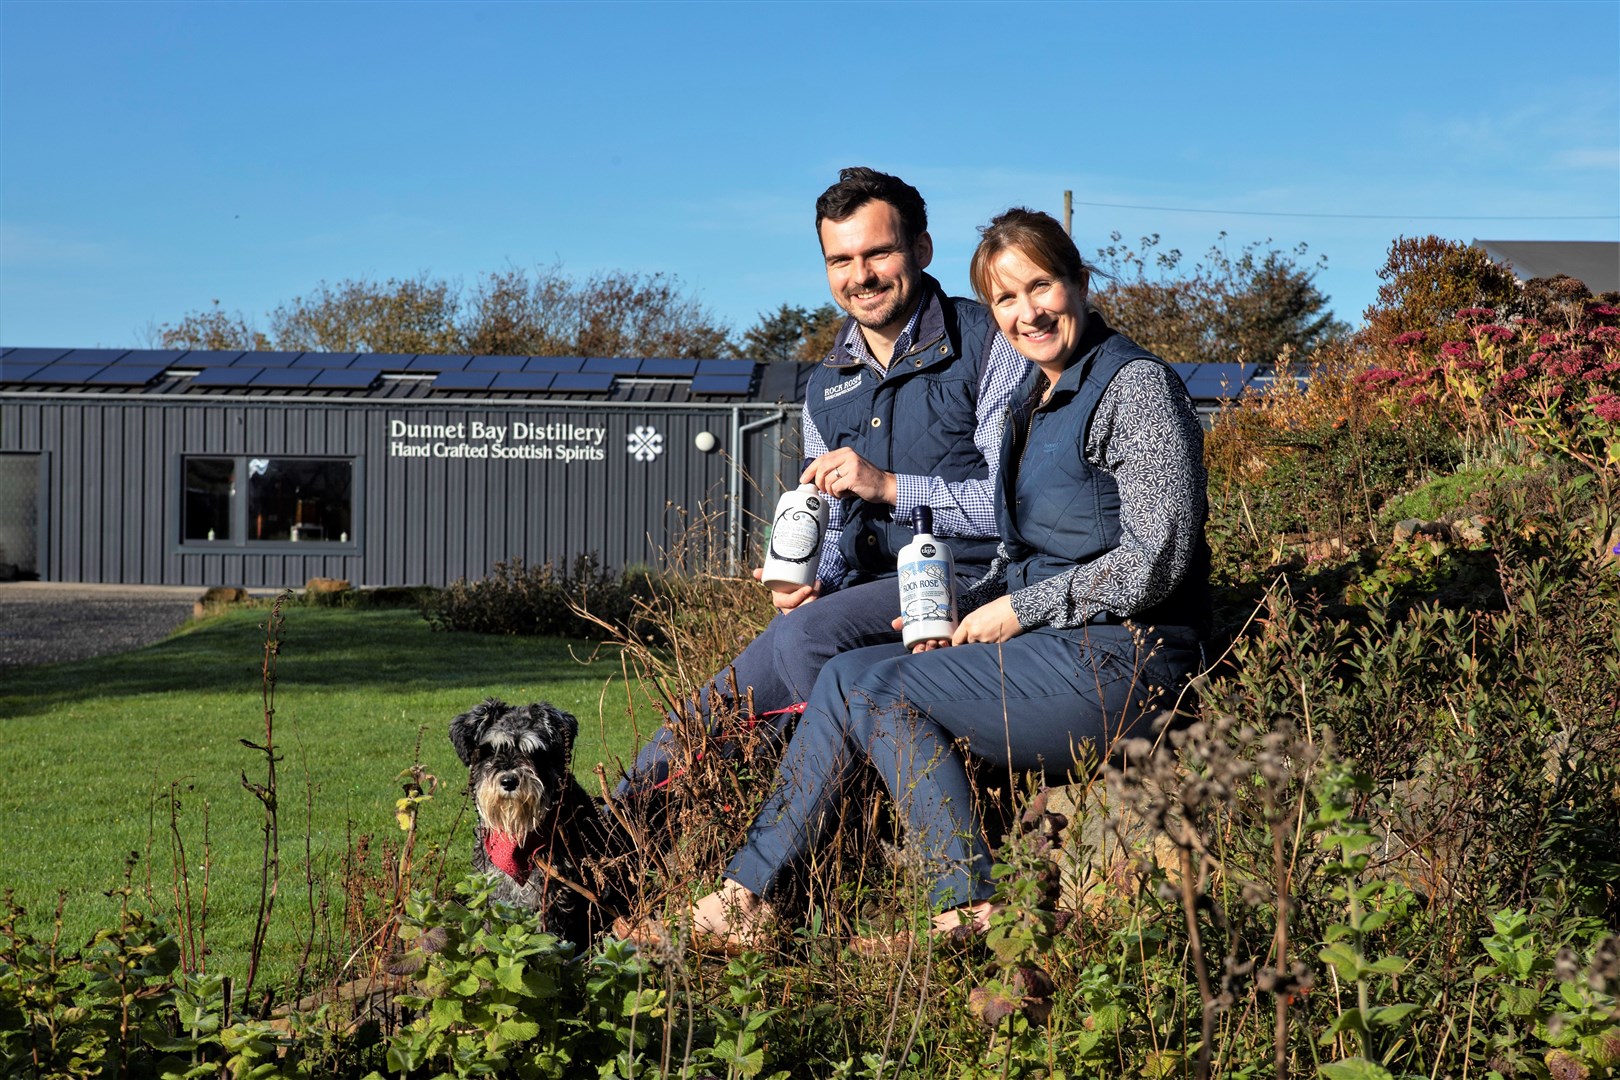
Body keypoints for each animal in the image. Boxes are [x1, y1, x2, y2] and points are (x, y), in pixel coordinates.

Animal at [456, 702, 638, 945]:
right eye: (490, 750)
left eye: (535, 752)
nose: (509, 781)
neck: (518, 834)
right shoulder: (492, 887)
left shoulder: (552, 893)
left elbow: (546, 936)